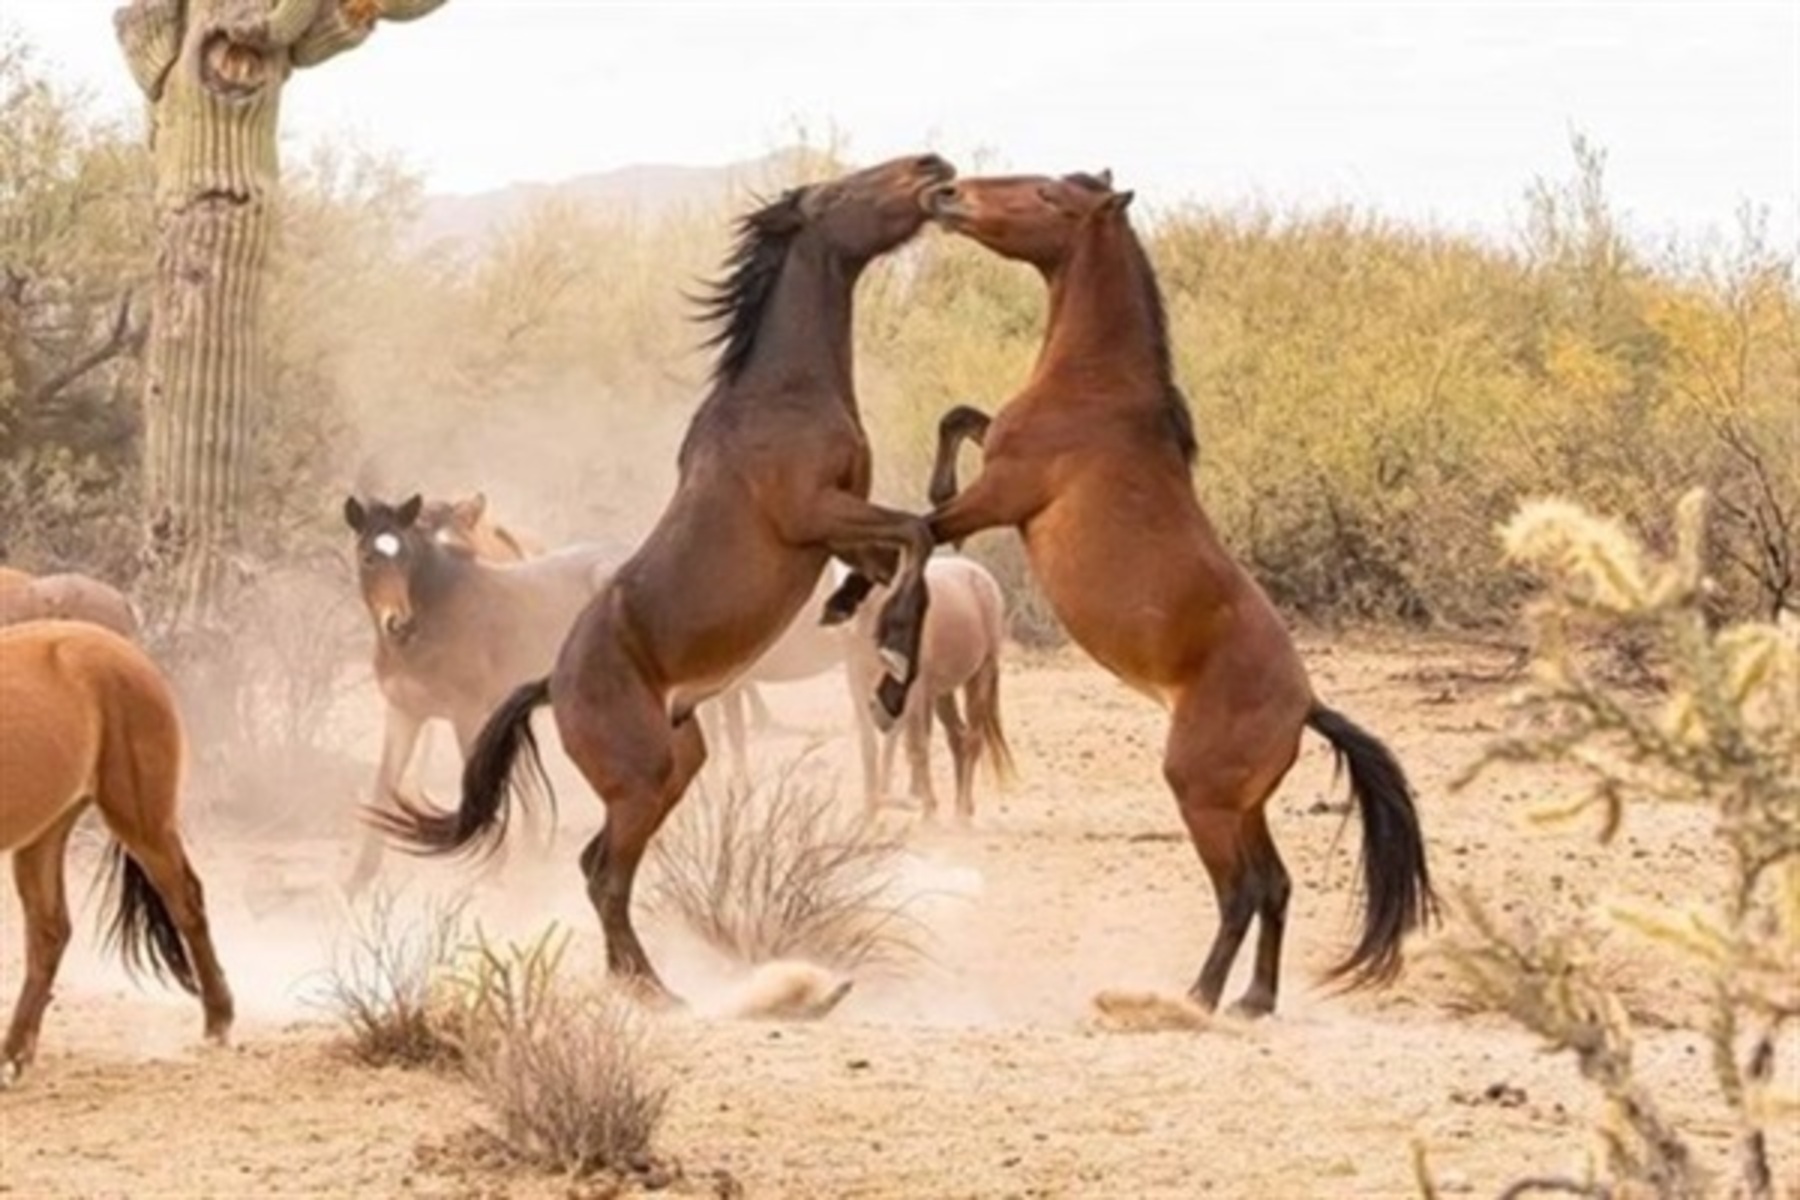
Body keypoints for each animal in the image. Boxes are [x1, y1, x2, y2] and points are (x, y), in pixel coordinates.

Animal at [0, 621, 234, 1084]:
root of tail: (129, 652)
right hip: (45, 833)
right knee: (49, 932)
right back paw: (14, 1055)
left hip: (142, 820)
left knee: (187, 902)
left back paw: (218, 1023)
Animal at [342, 493, 618, 894]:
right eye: (368, 557)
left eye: (406, 556)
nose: (399, 624)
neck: (434, 620)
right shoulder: (404, 713)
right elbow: (384, 783)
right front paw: (359, 877)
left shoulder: (467, 713)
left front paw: (491, 870)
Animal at [370, 153, 958, 1001]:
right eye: (845, 190)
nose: (932, 166)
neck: (781, 395)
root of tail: (552, 684)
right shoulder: (816, 514)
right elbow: (916, 532)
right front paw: (889, 667)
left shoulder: (840, 524)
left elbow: (906, 557)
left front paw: (866, 631)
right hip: (643, 776)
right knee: (604, 875)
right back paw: (653, 991)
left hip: (678, 763)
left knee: (598, 865)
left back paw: (639, 981)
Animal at [849, 554, 1014, 823]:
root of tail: (980, 574)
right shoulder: (858, 685)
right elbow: (869, 747)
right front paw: (869, 814)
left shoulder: (913, 692)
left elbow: (916, 746)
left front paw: (928, 813)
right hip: (942, 693)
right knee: (957, 736)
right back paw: (962, 807)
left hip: (981, 675)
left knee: (973, 738)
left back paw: (962, 814)